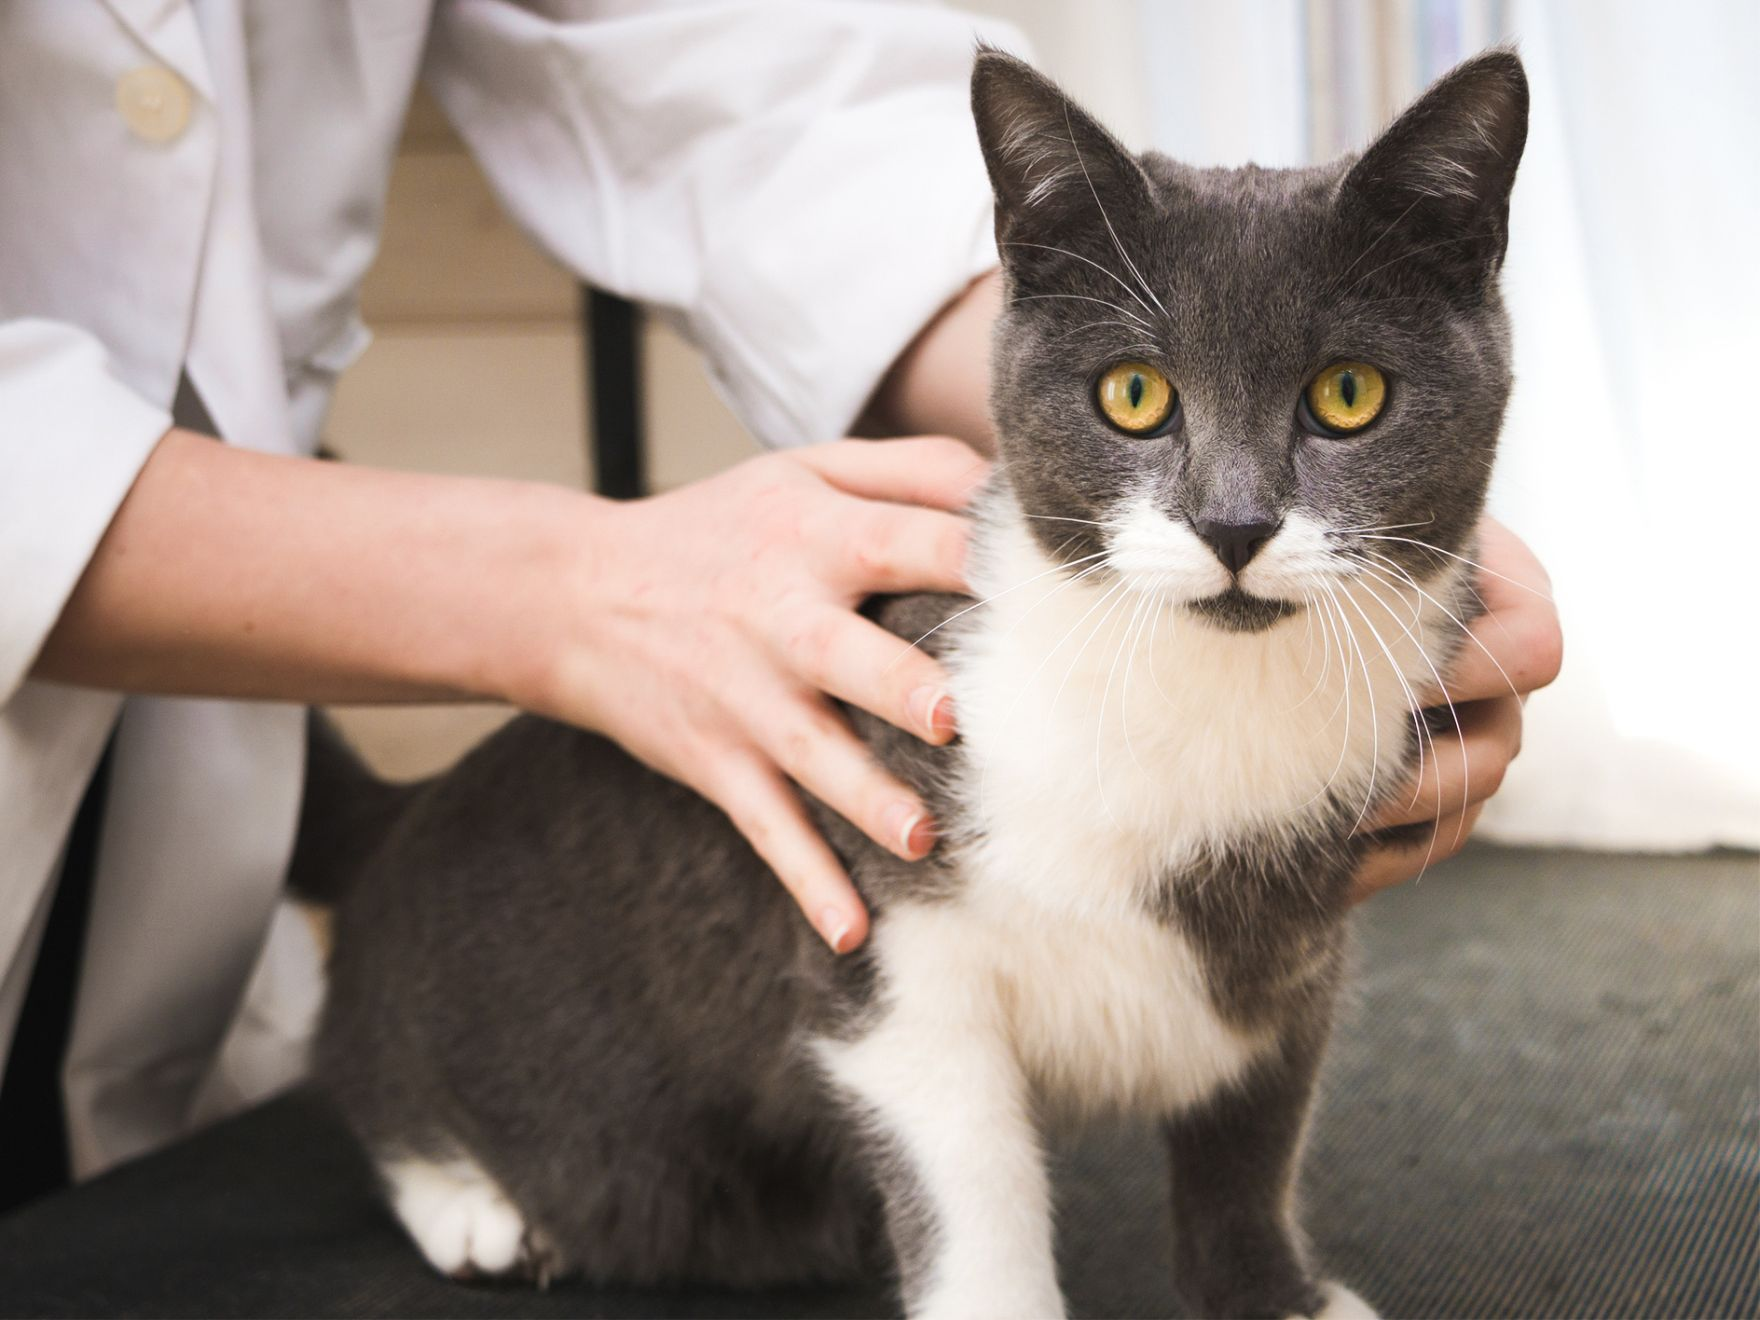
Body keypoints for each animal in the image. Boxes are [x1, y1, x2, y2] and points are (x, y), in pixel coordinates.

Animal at [292, 46, 1527, 1320]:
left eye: (1347, 395)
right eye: (1134, 394)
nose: (1232, 524)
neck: (1201, 699)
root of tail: (406, 811)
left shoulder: (1293, 944)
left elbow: (1252, 1133)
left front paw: (1271, 1293)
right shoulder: (885, 922)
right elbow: (969, 1168)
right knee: (372, 1077)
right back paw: (471, 1207)